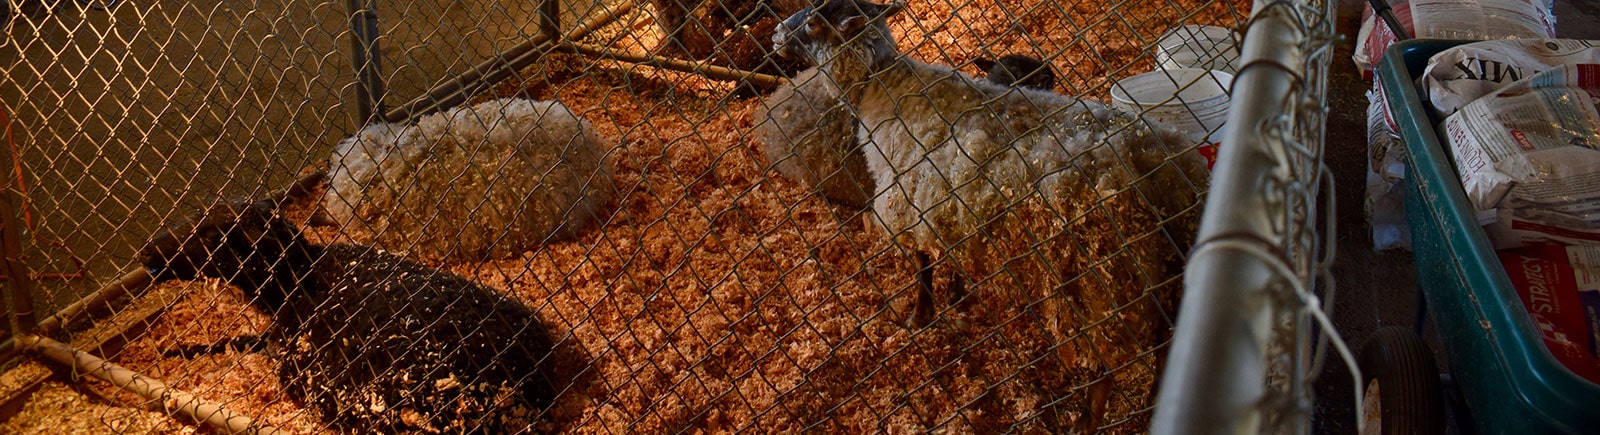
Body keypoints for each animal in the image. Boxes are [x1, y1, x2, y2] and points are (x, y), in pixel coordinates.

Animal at [768, 0, 1203, 428]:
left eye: (813, 23)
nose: (774, 34)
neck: (882, 87)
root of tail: (1169, 172)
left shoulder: (910, 202)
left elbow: (923, 267)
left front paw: (919, 316)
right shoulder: (947, 207)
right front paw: (957, 295)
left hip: (1100, 283)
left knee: (1105, 361)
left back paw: (1086, 420)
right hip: (1167, 277)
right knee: (1167, 351)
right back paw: (1155, 405)